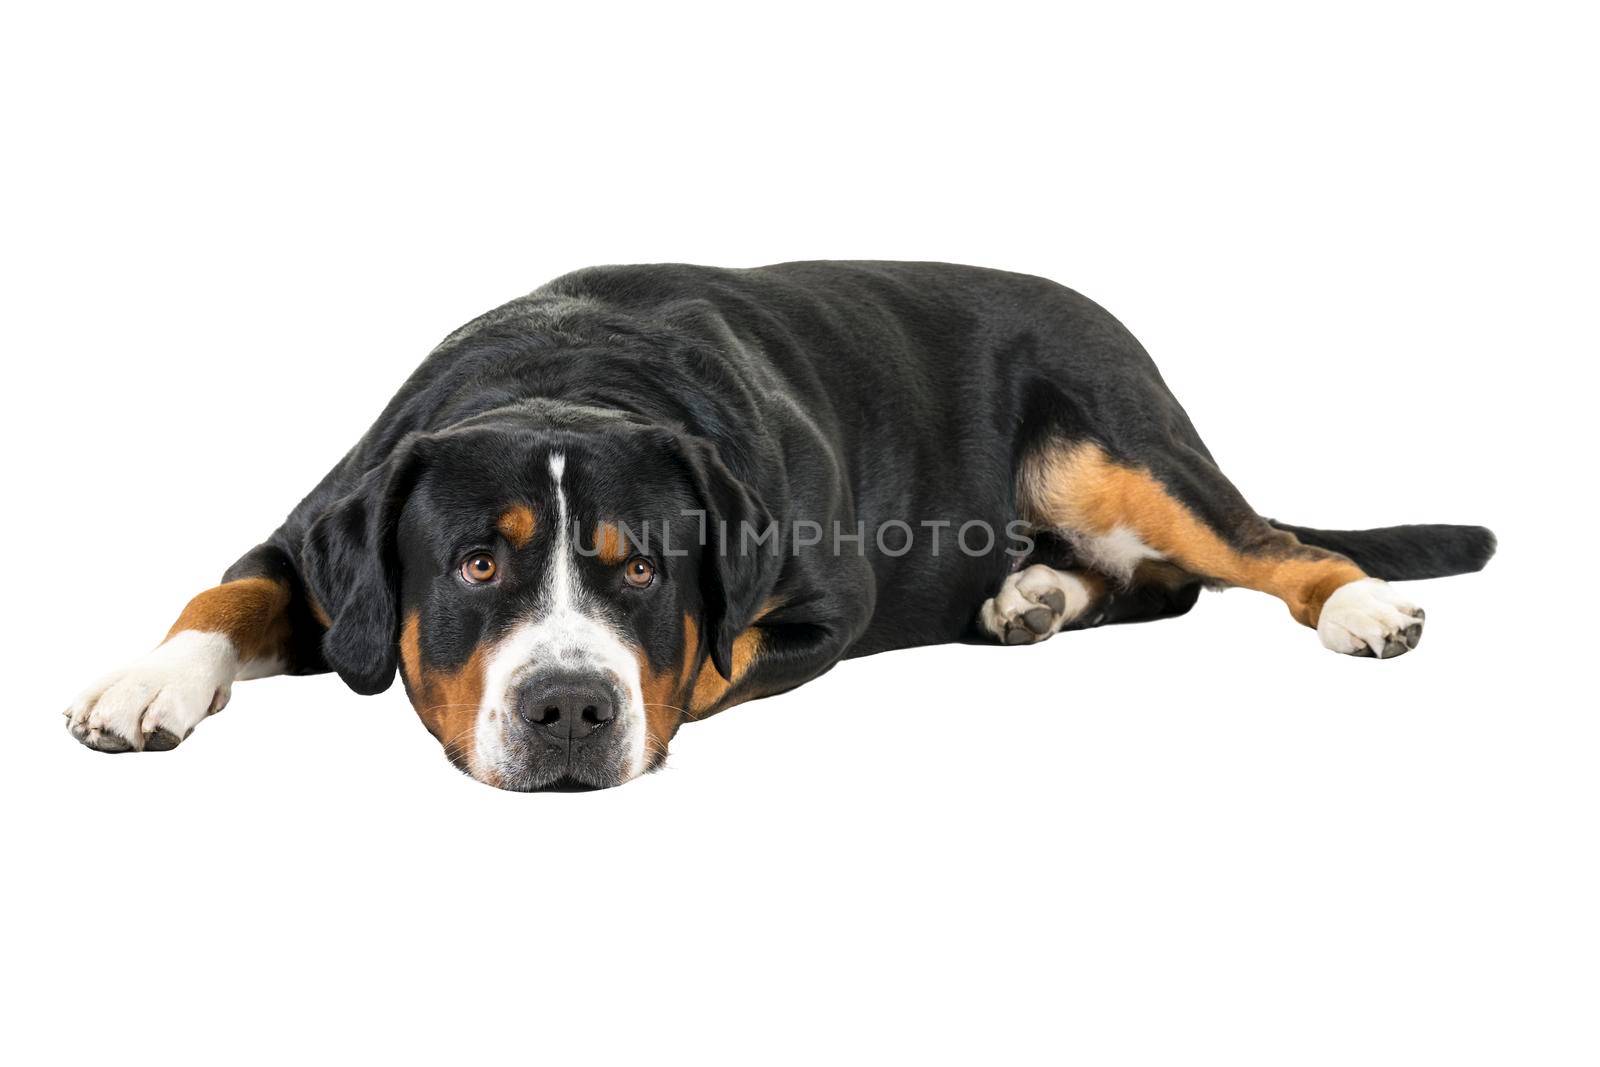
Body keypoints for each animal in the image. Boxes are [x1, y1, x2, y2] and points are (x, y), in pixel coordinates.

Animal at [65, 262, 1497, 790]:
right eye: (475, 562)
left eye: (641, 568)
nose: (570, 708)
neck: (570, 371)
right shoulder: (319, 532)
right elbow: (229, 591)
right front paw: (146, 681)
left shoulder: (816, 603)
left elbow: (712, 656)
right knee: (1154, 586)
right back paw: (1030, 596)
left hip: (1117, 452)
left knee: (1249, 550)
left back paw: (1362, 601)